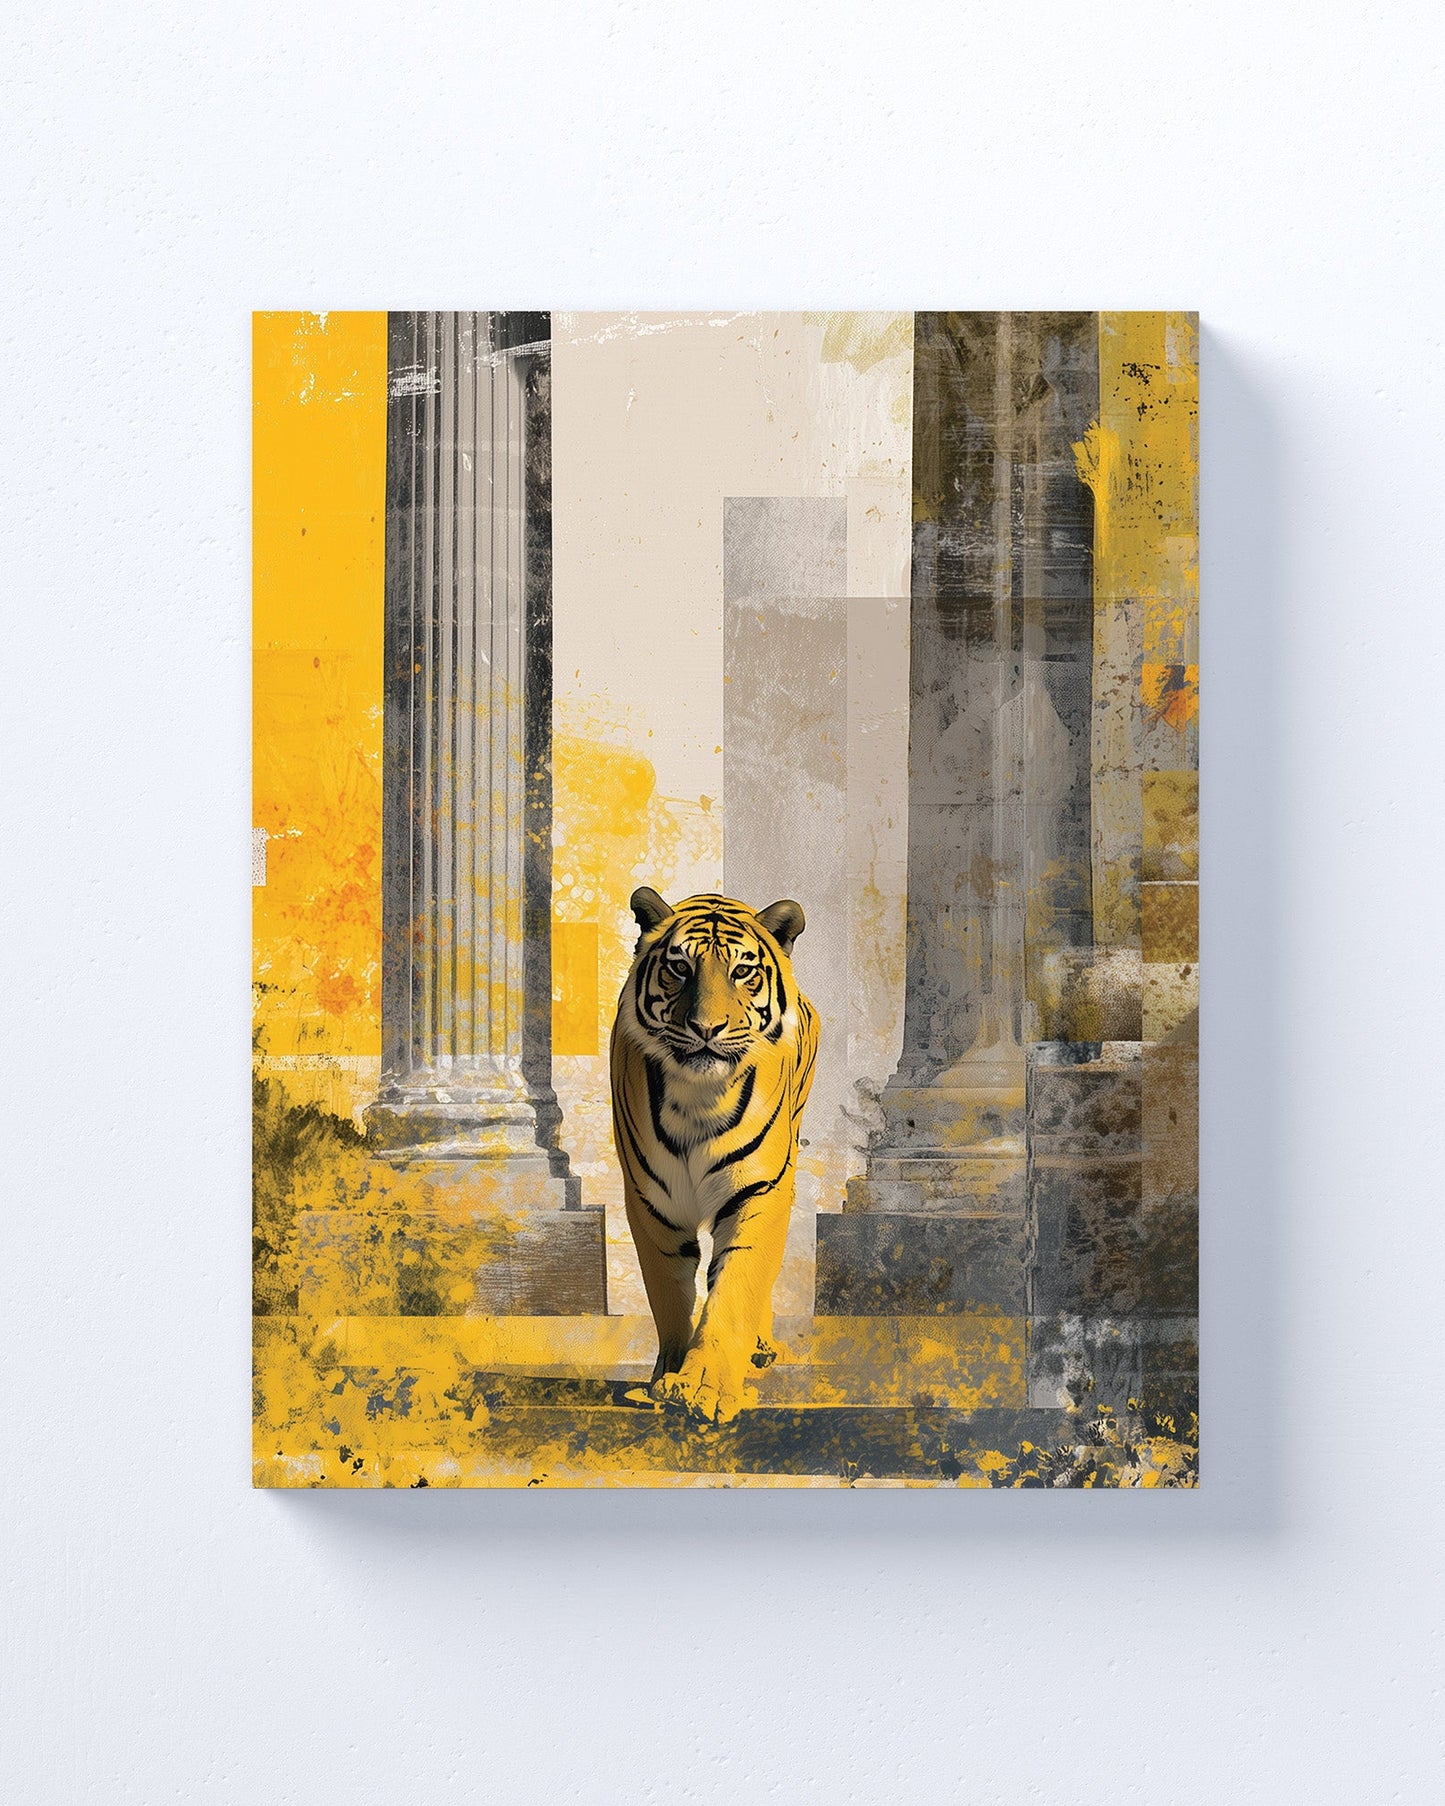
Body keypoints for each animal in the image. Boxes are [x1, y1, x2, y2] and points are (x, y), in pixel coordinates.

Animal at [609, 888, 818, 1424]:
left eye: (743, 971)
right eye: (680, 967)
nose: (707, 1028)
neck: (698, 1098)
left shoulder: (759, 1191)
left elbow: (735, 1287)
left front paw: (706, 1386)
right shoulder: (651, 1203)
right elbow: (668, 1291)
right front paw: (668, 1374)